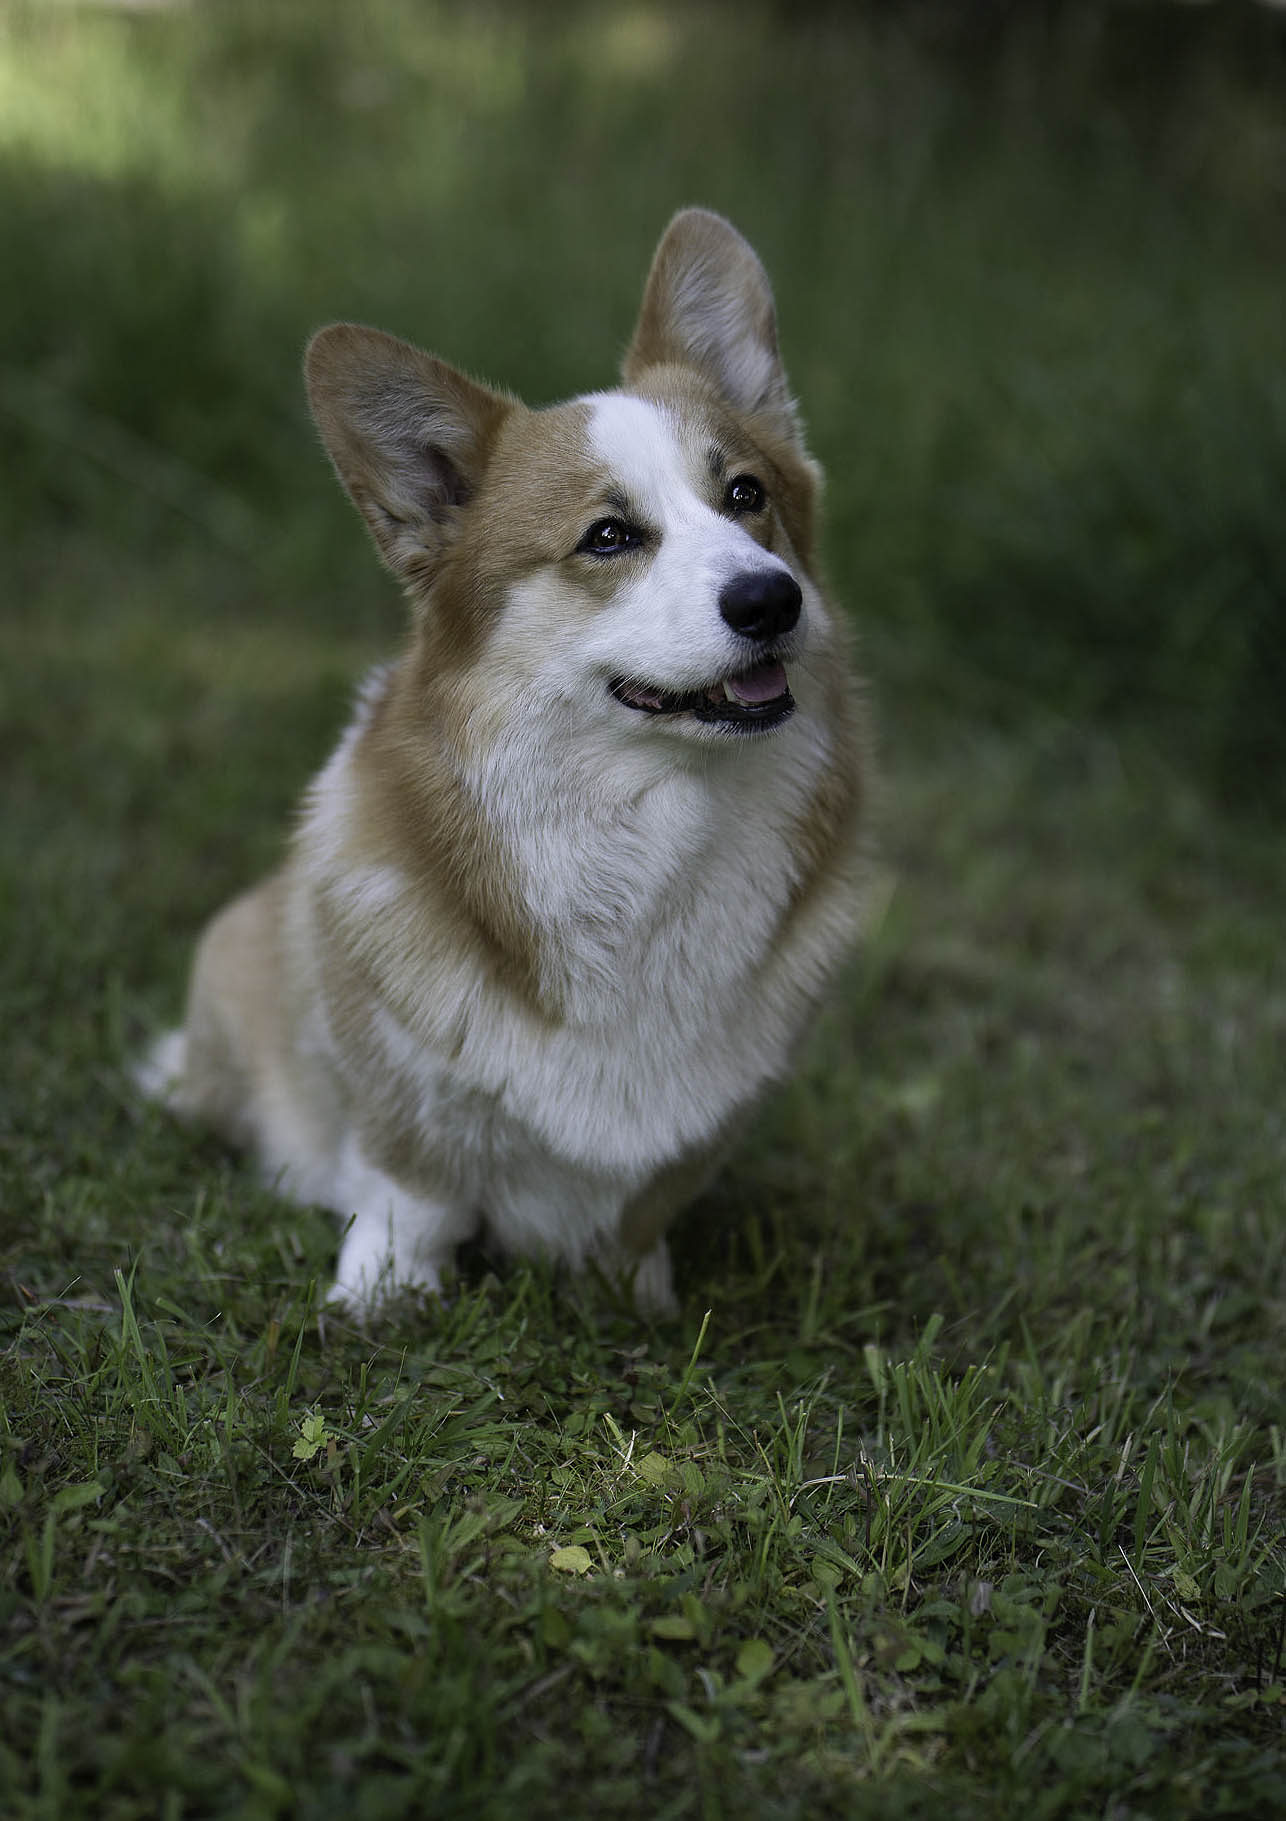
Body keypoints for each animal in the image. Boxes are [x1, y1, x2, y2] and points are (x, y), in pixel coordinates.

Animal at [138, 208, 867, 1318]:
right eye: (607, 537)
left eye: (747, 493)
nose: (769, 599)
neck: (648, 824)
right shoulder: (402, 1087)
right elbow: (415, 1188)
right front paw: (382, 1295)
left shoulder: (708, 1119)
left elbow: (643, 1204)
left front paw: (635, 1296)